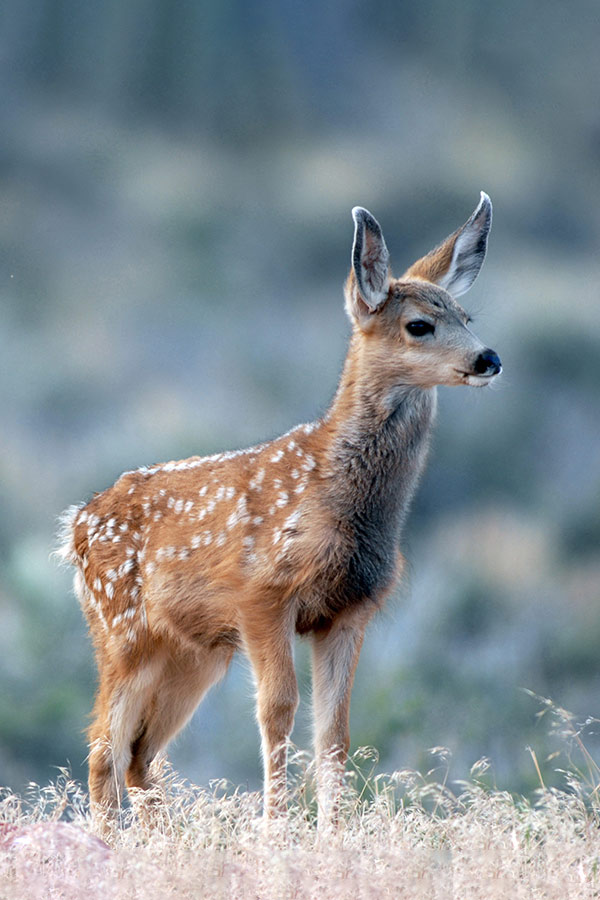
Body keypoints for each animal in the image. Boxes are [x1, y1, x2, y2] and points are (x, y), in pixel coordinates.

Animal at [58, 193, 502, 828]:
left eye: (467, 316)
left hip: (194, 651)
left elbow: (335, 731)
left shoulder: (350, 610)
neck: (337, 500)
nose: (489, 358)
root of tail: (76, 523)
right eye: (420, 324)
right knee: (103, 746)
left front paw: (333, 834)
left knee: (140, 750)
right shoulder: (262, 594)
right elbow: (278, 711)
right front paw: (277, 829)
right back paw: (107, 841)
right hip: (120, 629)